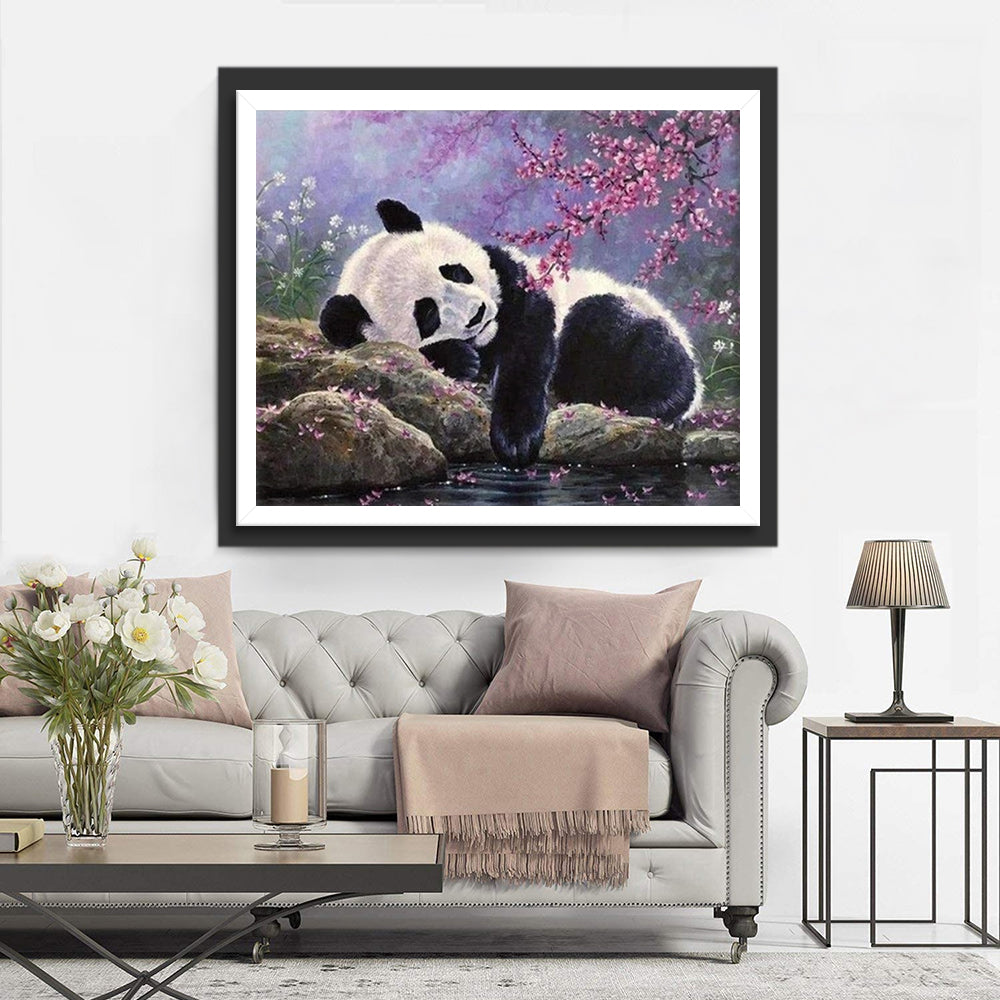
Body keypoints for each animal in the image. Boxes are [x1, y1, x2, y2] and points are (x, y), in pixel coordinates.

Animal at [319, 199, 700, 468]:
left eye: (455, 272)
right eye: (427, 314)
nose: (478, 314)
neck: (492, 336)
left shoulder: (519, 281)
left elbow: (528, 349)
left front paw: (516, 439)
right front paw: (460, 359)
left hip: (623, 316)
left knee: (626, 343)